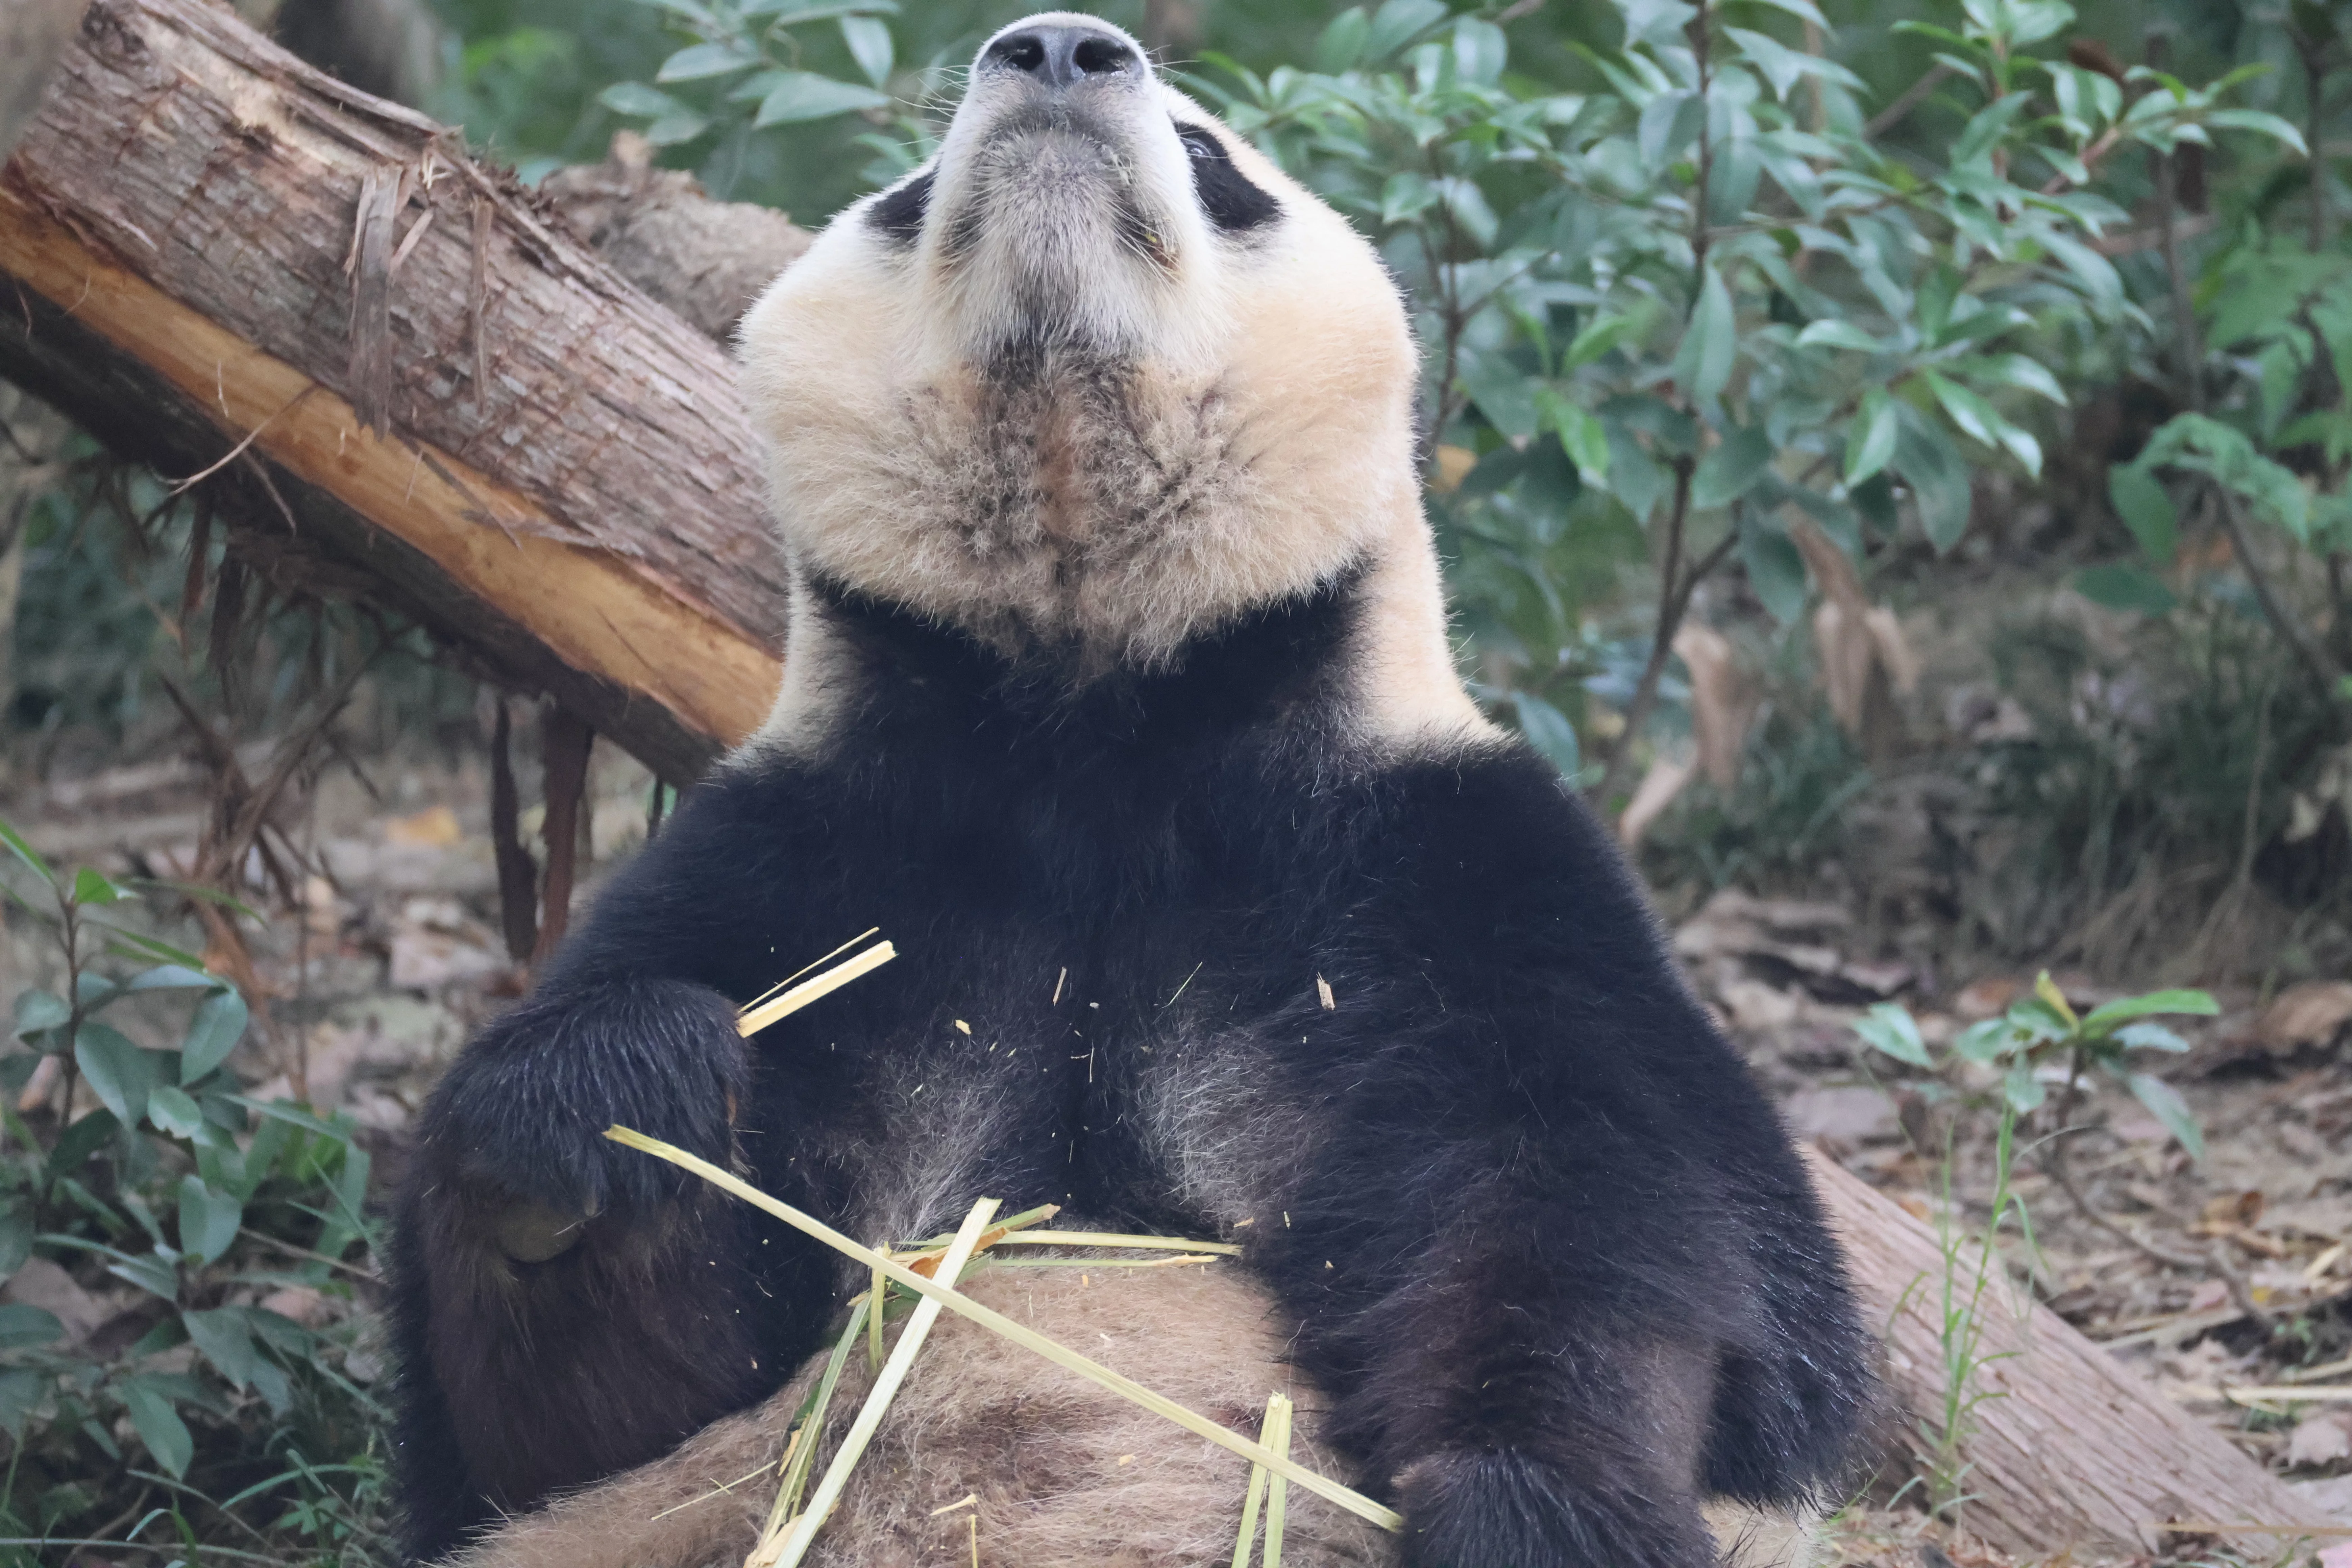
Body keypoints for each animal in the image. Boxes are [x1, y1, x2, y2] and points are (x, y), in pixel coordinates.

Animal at [386, 13, 1875, 1568]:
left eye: (1217, 164)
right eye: (909, 194)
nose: (1055, 45)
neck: (1092, 706)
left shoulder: (1451, 869)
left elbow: (1609, 1214)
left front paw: (1534, 1510)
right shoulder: (807, 856)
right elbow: (554, 1436)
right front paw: (597, 1109)